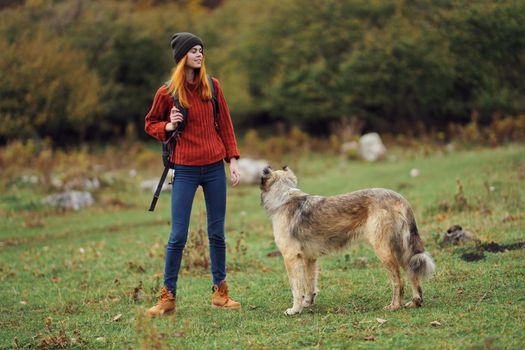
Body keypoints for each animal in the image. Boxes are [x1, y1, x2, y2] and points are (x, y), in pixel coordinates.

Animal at [258, 166, 434, 314]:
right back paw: (415, 302)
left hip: (384, 251)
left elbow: (296, 288)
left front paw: (295, 310)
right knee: (413, 274)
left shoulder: (291, 258)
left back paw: (394, 306)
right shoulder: (309, 259)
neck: (283, 198)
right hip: (402, 250)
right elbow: (310, 285)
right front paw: (307, 303)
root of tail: (399, 198)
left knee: (399, 280)